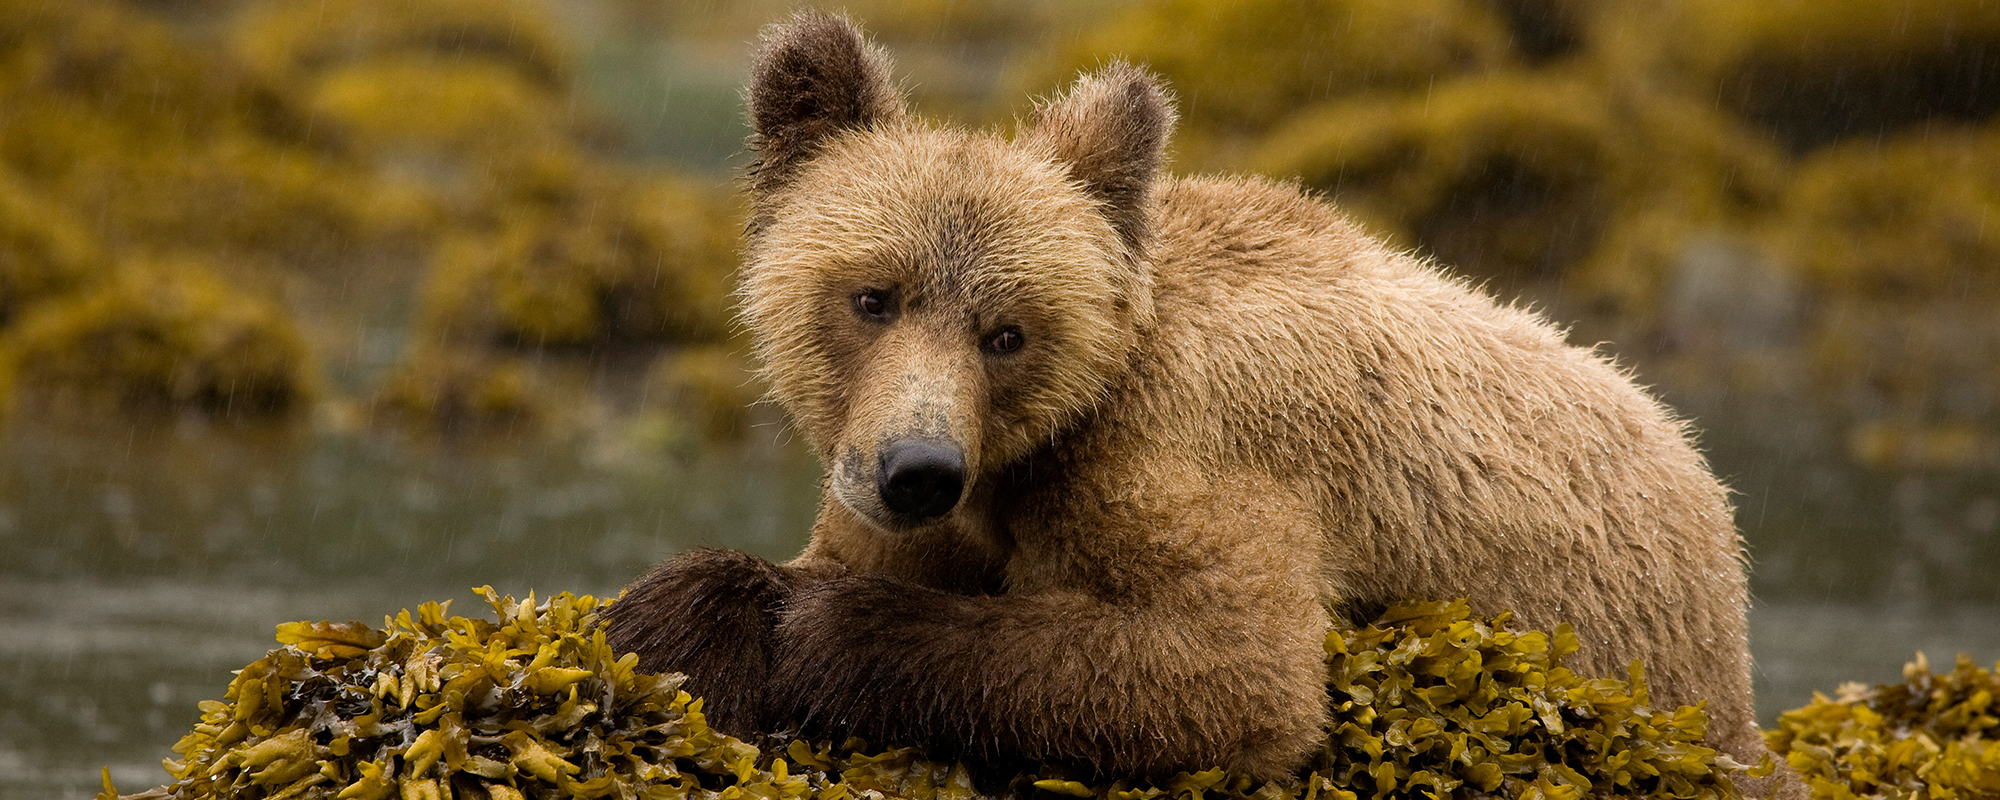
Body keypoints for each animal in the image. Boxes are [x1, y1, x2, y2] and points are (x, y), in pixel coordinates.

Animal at [604, 10, 1800, 792]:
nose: (917, 470)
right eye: (871, 295)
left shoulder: (1194, 445)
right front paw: (686, 613)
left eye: (1006, 331)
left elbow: (1228, 670)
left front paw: (816, 629)